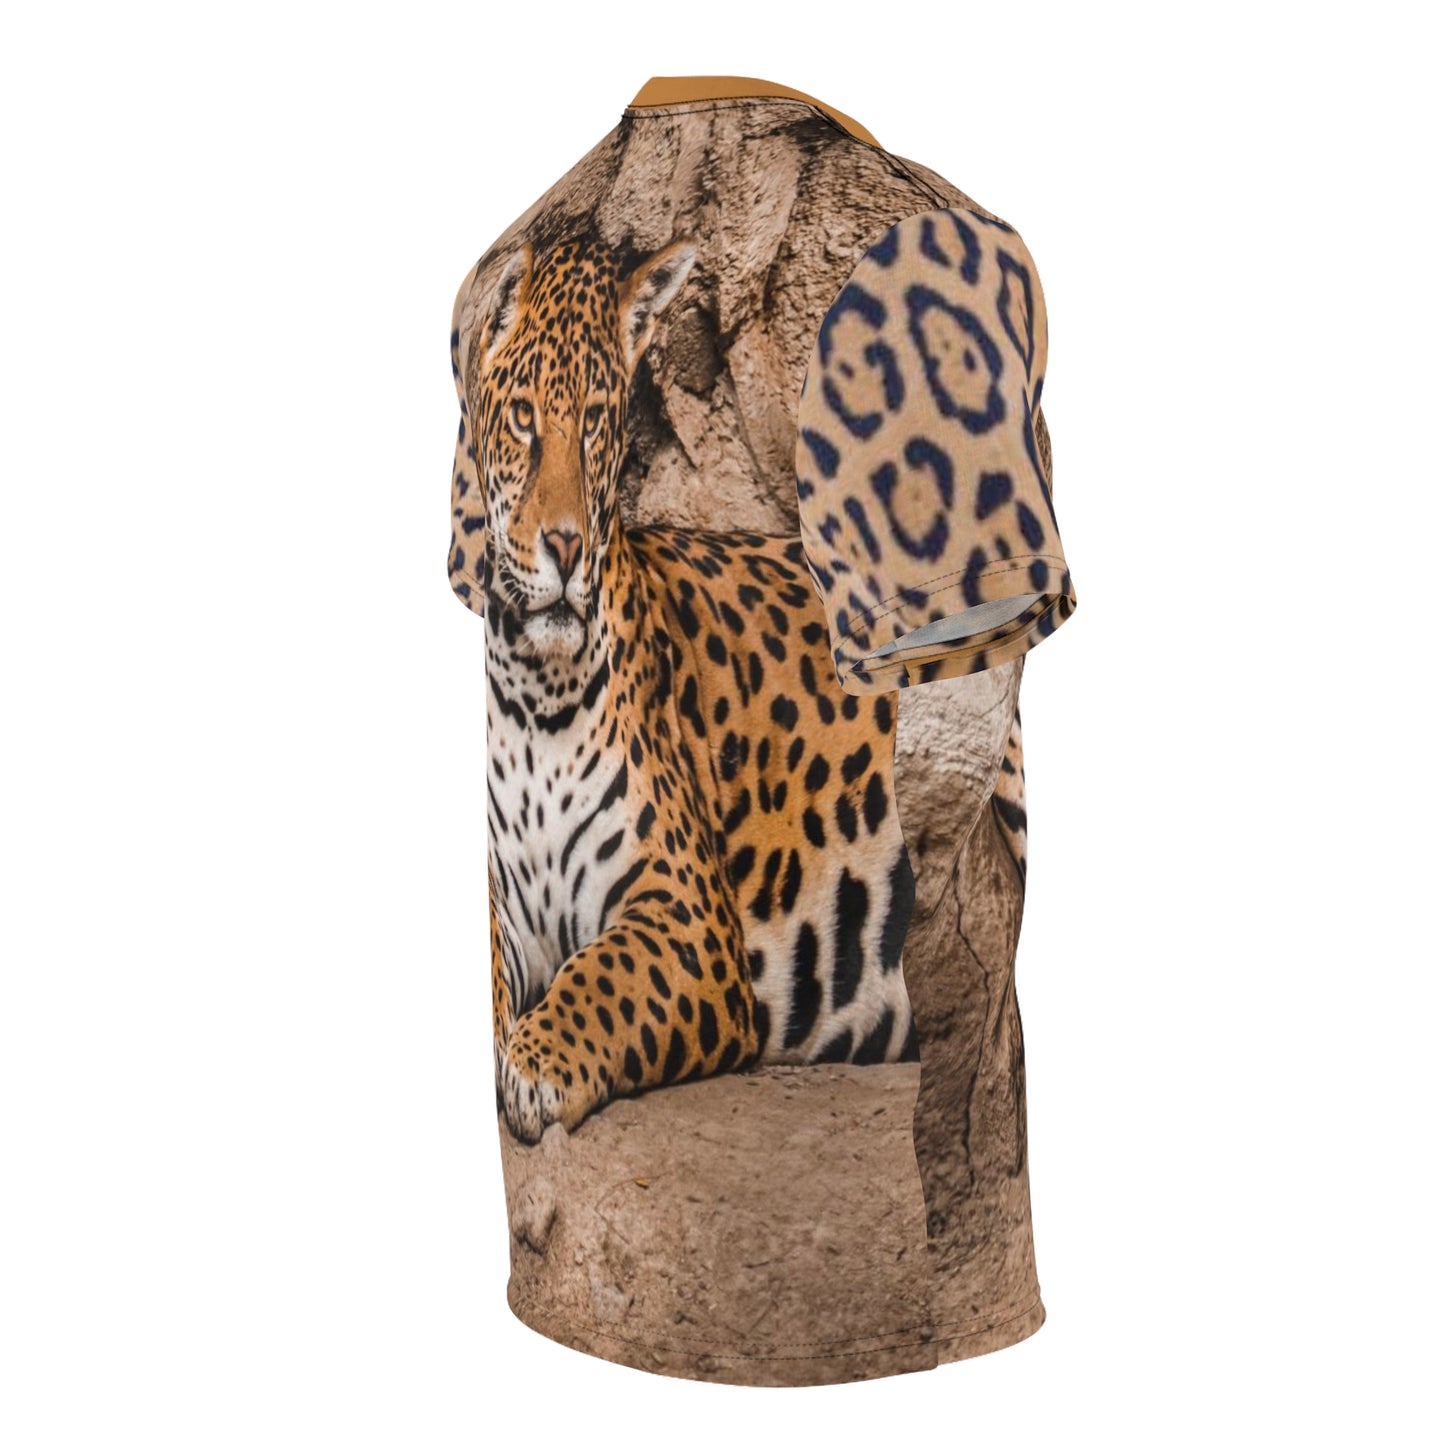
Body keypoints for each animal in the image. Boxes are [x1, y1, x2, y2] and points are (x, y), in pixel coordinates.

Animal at [449, 232, 918, 1142]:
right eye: (522, 417)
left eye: (597, 421)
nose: (565, 546)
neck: (534, 689)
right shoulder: (499, 905)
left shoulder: (686, 909)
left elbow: (600, 976)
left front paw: (530, 1064)